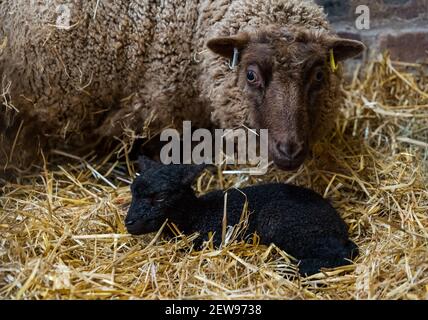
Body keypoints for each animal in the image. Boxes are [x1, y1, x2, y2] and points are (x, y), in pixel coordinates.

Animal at [126, 156, 358, 276]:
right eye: (132, 191)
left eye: (161, 197)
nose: (129, 223)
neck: (196, 215)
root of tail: (339, 224)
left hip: (281, 223)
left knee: (343, 252)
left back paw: (294, 269)